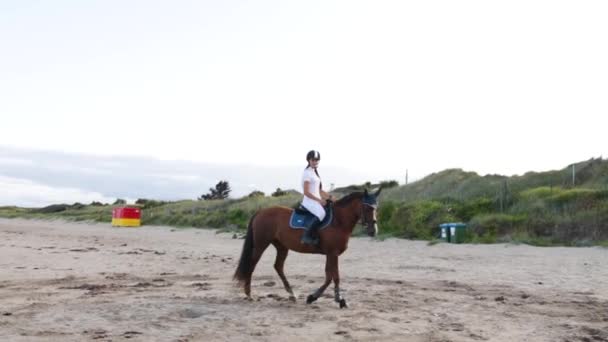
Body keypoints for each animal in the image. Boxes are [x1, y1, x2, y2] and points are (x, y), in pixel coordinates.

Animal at [233, 188, 380, 308]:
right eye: (367, 207)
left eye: (376, 207)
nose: (373, 230)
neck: (338, 221)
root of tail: (261, 212)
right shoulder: (332, 253)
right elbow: (334, 276)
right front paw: (337, 300)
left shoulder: (331, 254)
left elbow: (330, 276)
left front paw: (316, 297)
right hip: (261, 244)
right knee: (252, 264)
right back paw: (249, 294)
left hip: (281, 247)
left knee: (278, 266)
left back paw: (291, 294)